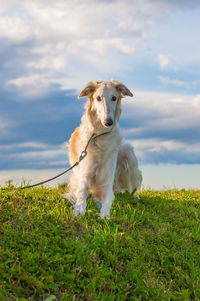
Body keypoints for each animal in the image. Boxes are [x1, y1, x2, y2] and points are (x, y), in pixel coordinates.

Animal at [64, 79, 142, 218]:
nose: (108, 122)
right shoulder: (84, 178)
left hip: (128, 153)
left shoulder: (107, 183)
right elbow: (81, 195)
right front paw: (79, 210)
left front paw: (104, 216)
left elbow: (107, 201)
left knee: (130, 188)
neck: (100, 136)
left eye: (114, 98)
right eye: (98, 98)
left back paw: (133, 195)